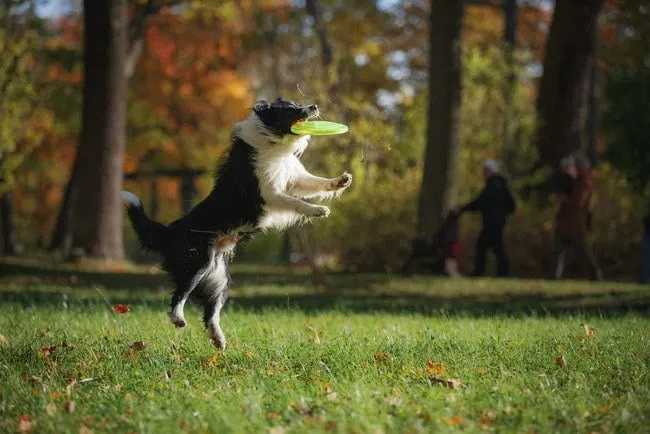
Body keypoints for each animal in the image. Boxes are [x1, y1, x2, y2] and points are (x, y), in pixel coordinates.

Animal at [123, 99, 352, 350]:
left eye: (296, 103)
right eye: (290, 108)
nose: (313, 106)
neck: (272, 140)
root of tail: (169, 230)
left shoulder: (292, 180)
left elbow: (315, 183)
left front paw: (340, 181)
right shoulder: (268, 194)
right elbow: (296, 202)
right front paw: (318, 210)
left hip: (219, 278)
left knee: (210, 312)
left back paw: (219, 339)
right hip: (196, 261)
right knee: (179, 294)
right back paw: (179, 318)